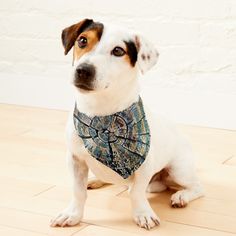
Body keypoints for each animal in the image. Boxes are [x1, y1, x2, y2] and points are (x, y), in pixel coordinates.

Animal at [50, 18, 204, 230]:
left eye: (118, 51)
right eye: (82, 40)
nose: (83, 70)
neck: (101, 113)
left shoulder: (144, 166)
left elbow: (136, 192)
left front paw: (143, 214)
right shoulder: (75, 159)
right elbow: (78, 191)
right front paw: (72, 214)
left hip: (179, 170)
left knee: (196, 187)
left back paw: (181, 196)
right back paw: (95, 180)